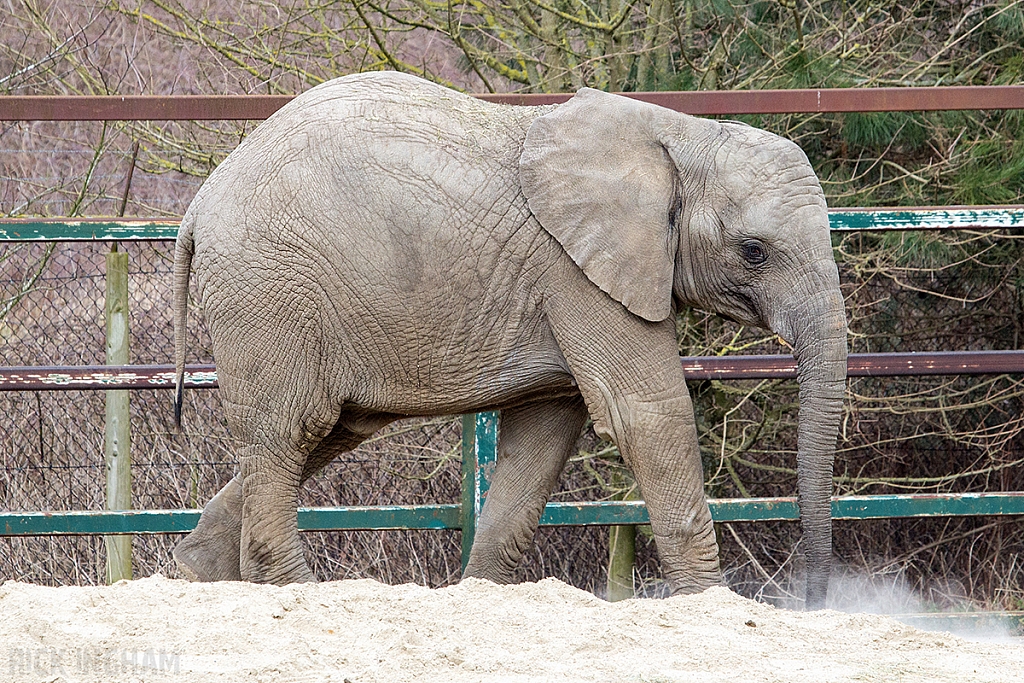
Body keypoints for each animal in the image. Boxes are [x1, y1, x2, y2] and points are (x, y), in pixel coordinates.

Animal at [174, 72, 847, 610]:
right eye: (754, 252)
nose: (814, 599)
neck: (681, 134)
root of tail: (200, 201)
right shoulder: (575, 271)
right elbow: (647, 415)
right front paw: (711, 604)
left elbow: (545, 435)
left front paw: (482, 595)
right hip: (269, 291)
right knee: (288, 431)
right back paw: (296, 589)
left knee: (316, 435)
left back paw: (201, 572)